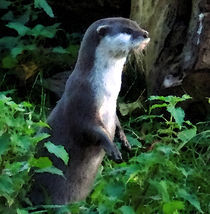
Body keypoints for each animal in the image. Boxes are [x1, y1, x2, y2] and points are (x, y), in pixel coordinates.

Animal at [30, 16, 150, 204]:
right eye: (128, 30)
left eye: (137, 25)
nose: (146, 34)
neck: (104, 89)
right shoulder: (82, 103)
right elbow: (90, 129)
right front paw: (113, 149)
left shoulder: (112, 108)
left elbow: (117, 121)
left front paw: (124, 140)